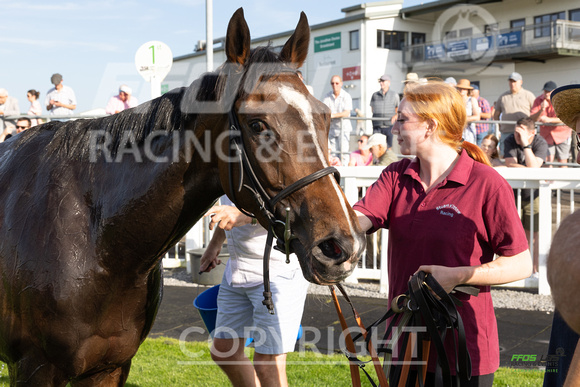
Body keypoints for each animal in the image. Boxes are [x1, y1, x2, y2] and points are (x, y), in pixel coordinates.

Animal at [0, 8, 362, 384]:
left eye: (325, 116)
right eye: (257, 124)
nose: (341, 245)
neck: (95, 238)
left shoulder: (110, 367)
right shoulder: (33, 367)